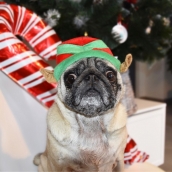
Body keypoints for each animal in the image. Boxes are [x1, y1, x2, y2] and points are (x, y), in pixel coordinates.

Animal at [34, 36, 132, 172]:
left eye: (110, 75)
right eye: (71, 77)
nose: (91, 76)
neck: (91, 122)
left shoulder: (118, 160)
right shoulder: (58, 165)